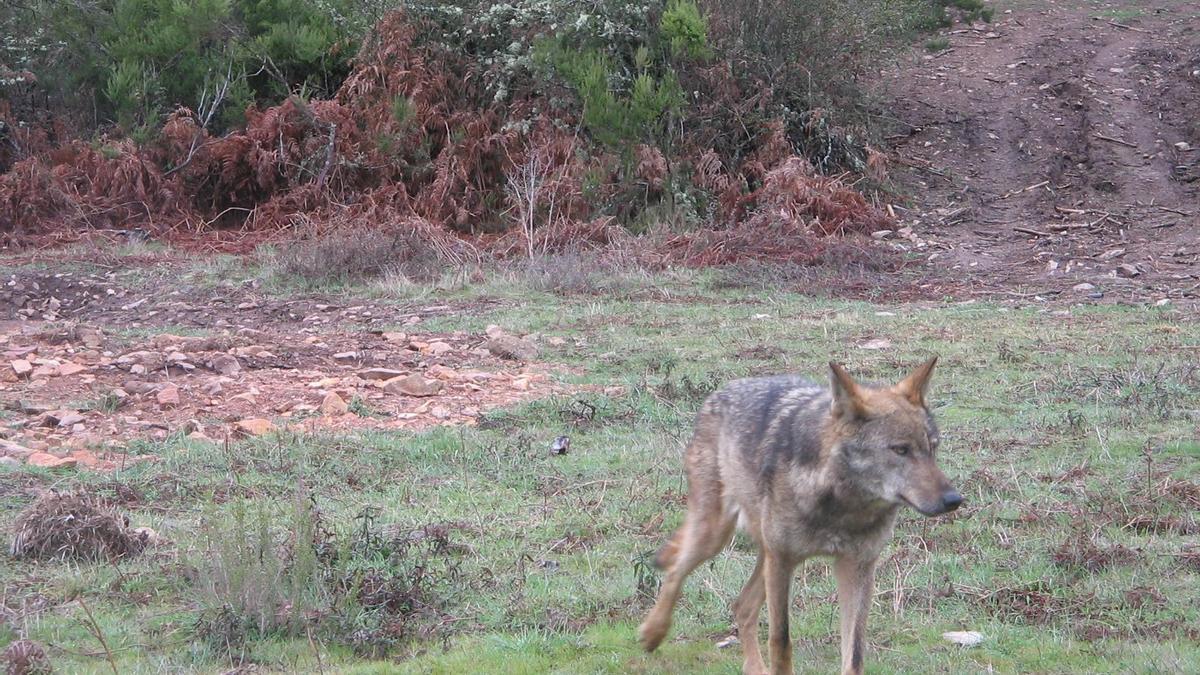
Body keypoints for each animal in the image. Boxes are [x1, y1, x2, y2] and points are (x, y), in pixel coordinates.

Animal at [638, 355, 964, 667]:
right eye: (900, 450)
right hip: (716, 537)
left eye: (933, 448)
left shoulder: (857, 567)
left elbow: (855, 653)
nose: (954, 499)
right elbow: (780, 642)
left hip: (763, 553)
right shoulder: (783, 561)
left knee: (742, 605)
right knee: (675, 571)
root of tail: (723, 390)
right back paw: (652, 634)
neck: (842, 509)